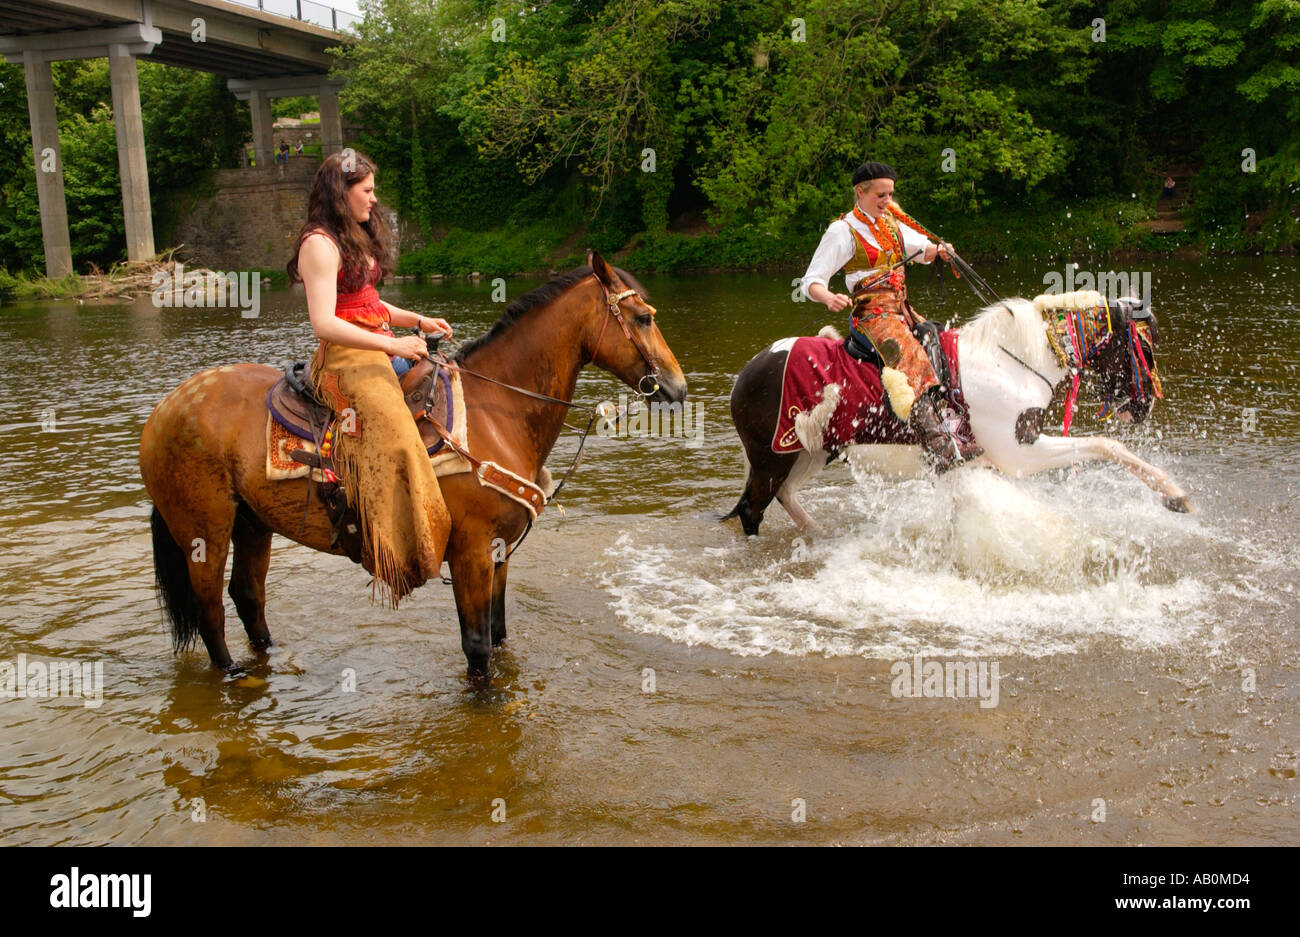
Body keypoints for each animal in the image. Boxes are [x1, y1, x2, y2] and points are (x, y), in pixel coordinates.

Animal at [139, 252, 691, 680]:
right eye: (643, 317)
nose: (677, 387)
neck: (497, 411)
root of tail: (166, 408)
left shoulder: (500, 552)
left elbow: (499, 632)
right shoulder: (471, 554)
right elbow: (477, 646)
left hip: (254, 524)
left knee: (248, 596)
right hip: (205, 530)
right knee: (210, 607)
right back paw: (232, 674)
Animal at [722, 288, 1190, 532]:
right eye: (1146, 346)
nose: (1144, 406)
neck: (1012, 360)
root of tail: (748, 370)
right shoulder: (1019, 451)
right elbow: (1106, 445)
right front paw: (1175, 495)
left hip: (809, 452)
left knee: (784, 497)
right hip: (772, 459)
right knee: (751, 509)